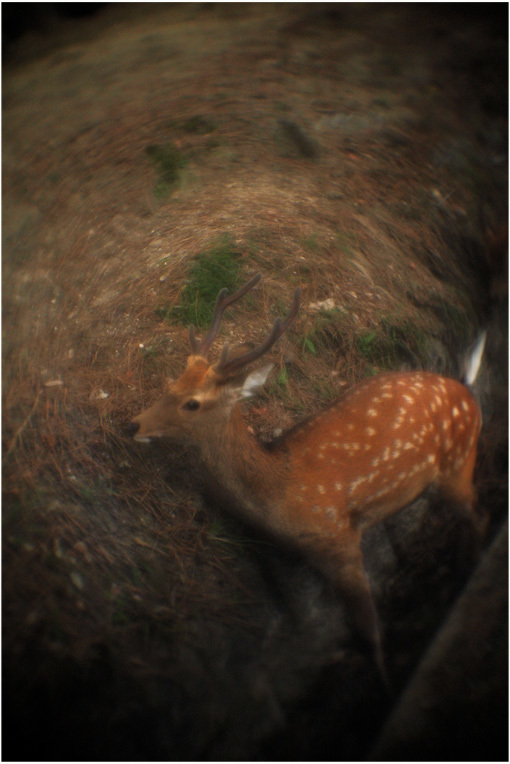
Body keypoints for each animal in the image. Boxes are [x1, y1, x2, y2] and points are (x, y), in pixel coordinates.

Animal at [129, 274, 488, 680]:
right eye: (173, 383)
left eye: (193, 403)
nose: (134, 425)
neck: (280, 495)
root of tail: (467, 390)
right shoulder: (305, 558)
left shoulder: (340, 542)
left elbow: (370, 631)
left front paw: (383, 680)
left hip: (458, 464)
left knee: (478, 514)